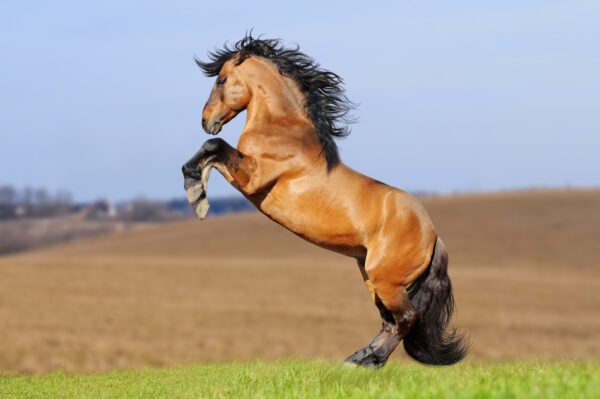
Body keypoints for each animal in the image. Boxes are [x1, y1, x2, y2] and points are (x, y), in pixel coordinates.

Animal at [183, 35, 468, 368]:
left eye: (221, 79)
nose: (206, 120)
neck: (283, 130)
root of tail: (433, 234)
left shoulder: (252, 177)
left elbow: (213, 146)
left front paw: (196, 195)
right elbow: (212, 152)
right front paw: (197, 189)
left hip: (387, 281)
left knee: (407, 318)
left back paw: (371, 360)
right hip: (370, 276)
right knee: (389, 321)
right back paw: (355, 359)